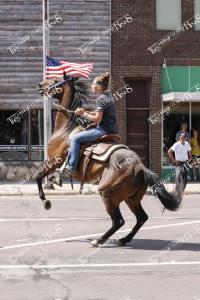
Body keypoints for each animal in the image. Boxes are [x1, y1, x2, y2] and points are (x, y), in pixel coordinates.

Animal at [36, 74, 183, 247]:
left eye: (55, 80)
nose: (40, 85)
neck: (65, 130)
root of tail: (140, 167)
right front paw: (53, 183)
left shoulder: (55, 161)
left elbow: (38, 175)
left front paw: (46, 201)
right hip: (131, 198)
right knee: (141, 217)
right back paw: (123, 239)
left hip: (107, 193)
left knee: (118, 221)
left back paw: (99, 240)